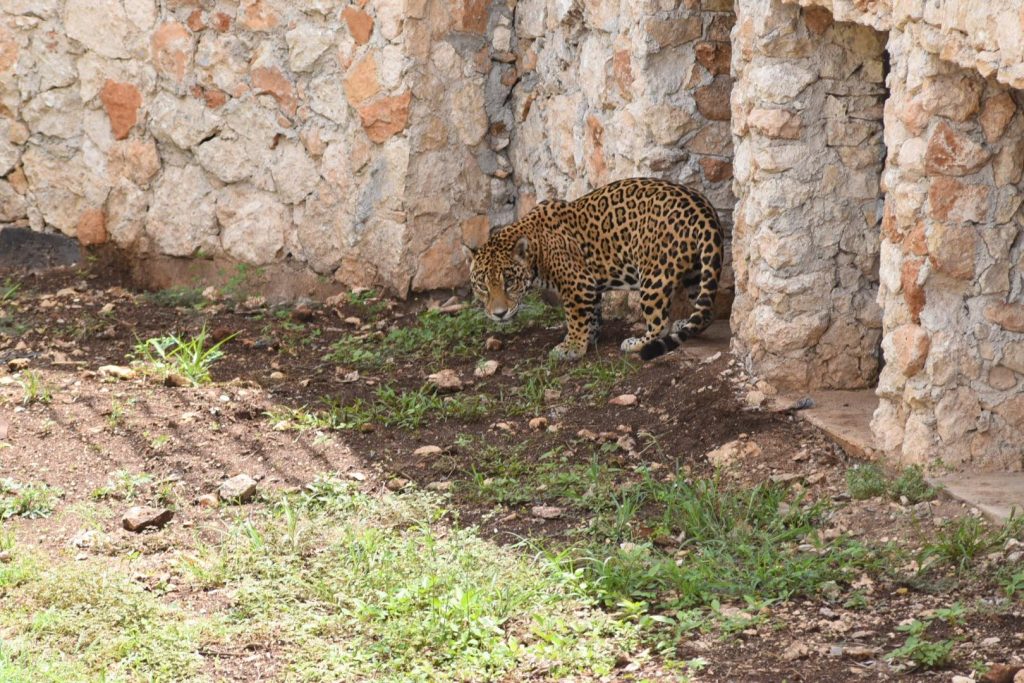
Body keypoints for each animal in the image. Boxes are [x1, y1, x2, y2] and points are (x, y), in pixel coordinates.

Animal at [465, 177, 724, 362]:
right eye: (482, 287)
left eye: (509, 282)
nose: (498, 314)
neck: (537, 248)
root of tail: (703, 210)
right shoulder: (591, 286)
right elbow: (592, 314)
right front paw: (589, 337)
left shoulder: (577, 284)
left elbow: (575, 317)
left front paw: (571, 348)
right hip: (698, 269)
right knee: (705, 310)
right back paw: (685, 322)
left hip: (654, 275)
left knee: (660, 324)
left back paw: (636, 343)